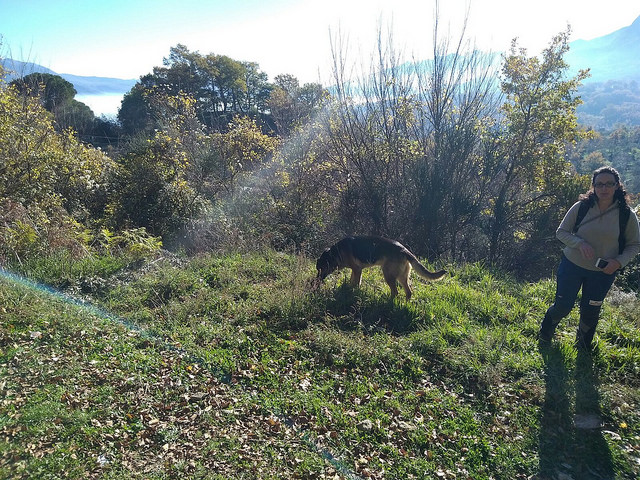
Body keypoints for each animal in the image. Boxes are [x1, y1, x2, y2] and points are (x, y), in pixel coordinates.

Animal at [316, 237, 444, 300]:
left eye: (321, 269)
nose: (316, 281)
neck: (335, 252)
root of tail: (404, 250)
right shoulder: (356, 270)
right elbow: (352, 282)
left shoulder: (357, 269)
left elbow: (355, 283)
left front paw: (352, 293)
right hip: (402, 277)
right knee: (408, 292)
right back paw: (405, 304)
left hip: (388, 275)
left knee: (395, 292)